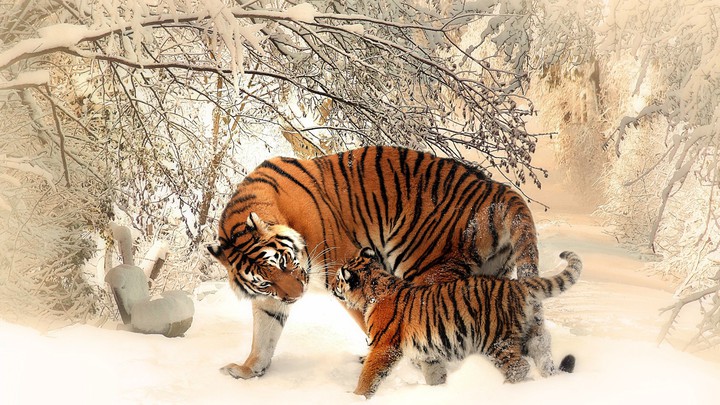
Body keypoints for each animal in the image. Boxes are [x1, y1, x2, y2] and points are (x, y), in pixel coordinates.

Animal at [207, 145, 550, 380]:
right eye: (265, 280)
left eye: (284, 262)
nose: (296, 296)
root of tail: (498, 189)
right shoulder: (270, 299)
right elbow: (264, 335)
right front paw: (248, 370)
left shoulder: (345, 270)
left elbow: (373, 320)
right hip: (491, 274)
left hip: (427, 268)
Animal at [333, 248, 582, 398]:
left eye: (338, 279)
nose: (333, 286)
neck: (374, 289)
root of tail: (517, 285)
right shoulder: (428, 352)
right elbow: (434, 374)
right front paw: (439, 391)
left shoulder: (383, 346)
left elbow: (369, 375)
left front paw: (356, 396)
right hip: (531, 335)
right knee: (543, 355)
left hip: (496, 341)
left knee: (519, 367)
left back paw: (505, 391)